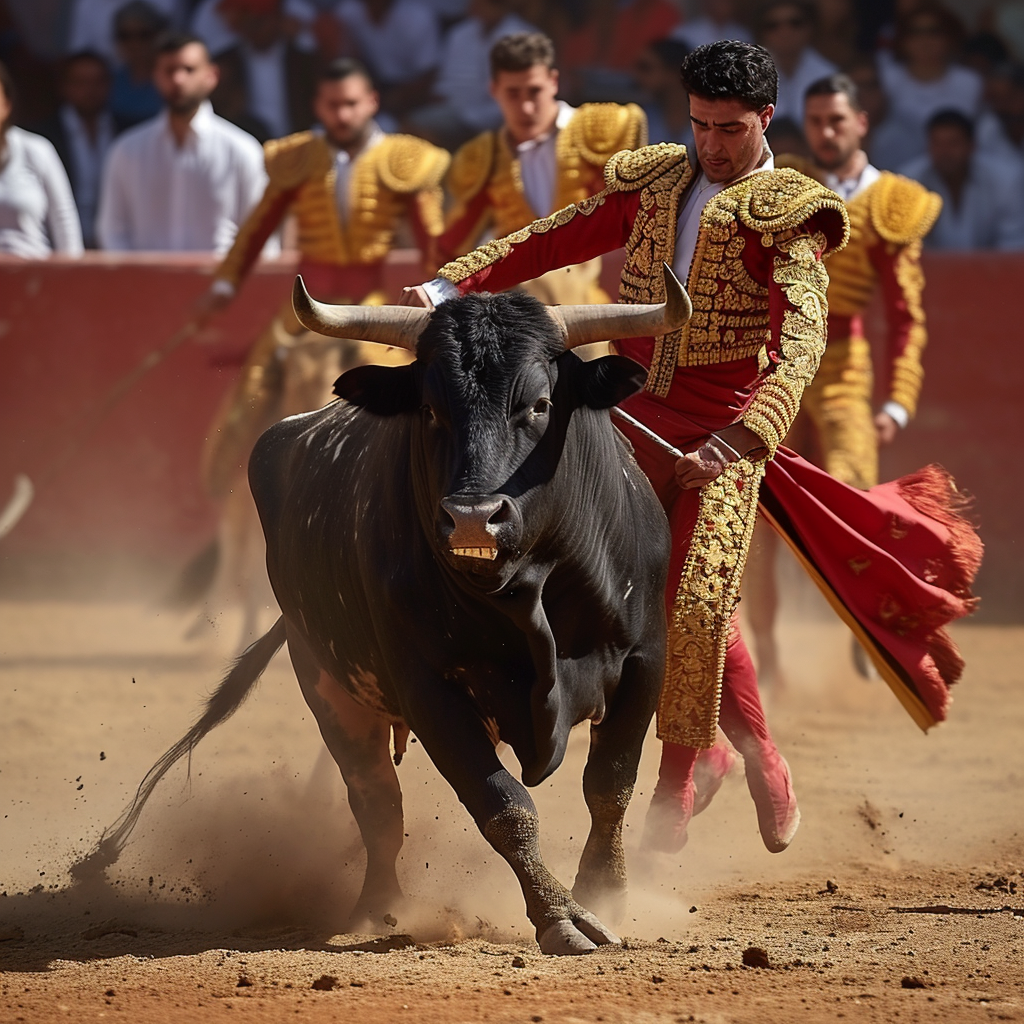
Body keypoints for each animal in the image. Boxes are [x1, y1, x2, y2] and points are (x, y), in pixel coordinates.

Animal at [77, 268, 688, 954]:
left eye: (538, 404)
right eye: (430, 409)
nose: (473, 519)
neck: (526, 591)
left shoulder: (645, 660)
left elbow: (610, 783)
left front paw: (606, 894)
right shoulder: (428, 688)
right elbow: (502, 805)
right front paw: (562, 917)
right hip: (325, 681)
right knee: (375, 800)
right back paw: (375, 908)